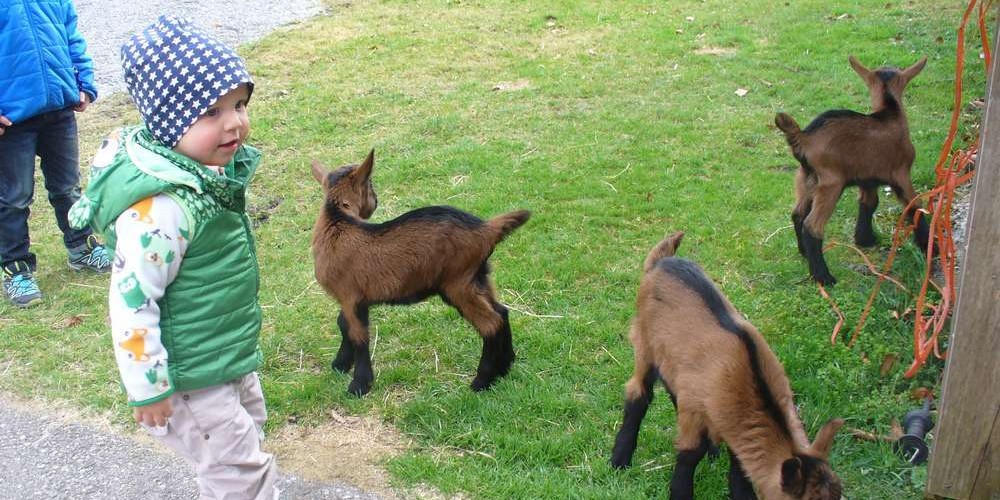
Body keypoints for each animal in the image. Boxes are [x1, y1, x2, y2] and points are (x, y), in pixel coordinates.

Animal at [312, 150, 532, 396]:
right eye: (371, 184)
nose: (376, 201)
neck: (337, 222)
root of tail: (486, 230)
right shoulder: (354, 299)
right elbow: (343, 324)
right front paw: (340, 365)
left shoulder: (350, 296)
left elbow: (358, 335)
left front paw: (359, 385)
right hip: (478, 277)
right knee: (502, 312)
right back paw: (505, 367)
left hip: (458, 283)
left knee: (491, 324)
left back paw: (481, 382)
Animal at [772, 54, 928, 286]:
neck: (890, 113)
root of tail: (804, 137)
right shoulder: (901, 174)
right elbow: (915, 206)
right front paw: (930, 248)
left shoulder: (867, 178)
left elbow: (869, 203)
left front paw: (865, 239)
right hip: (830, 184)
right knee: (812, 226)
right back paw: (824, 277)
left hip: (805, 179)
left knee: (797, 214)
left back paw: (804, 254)